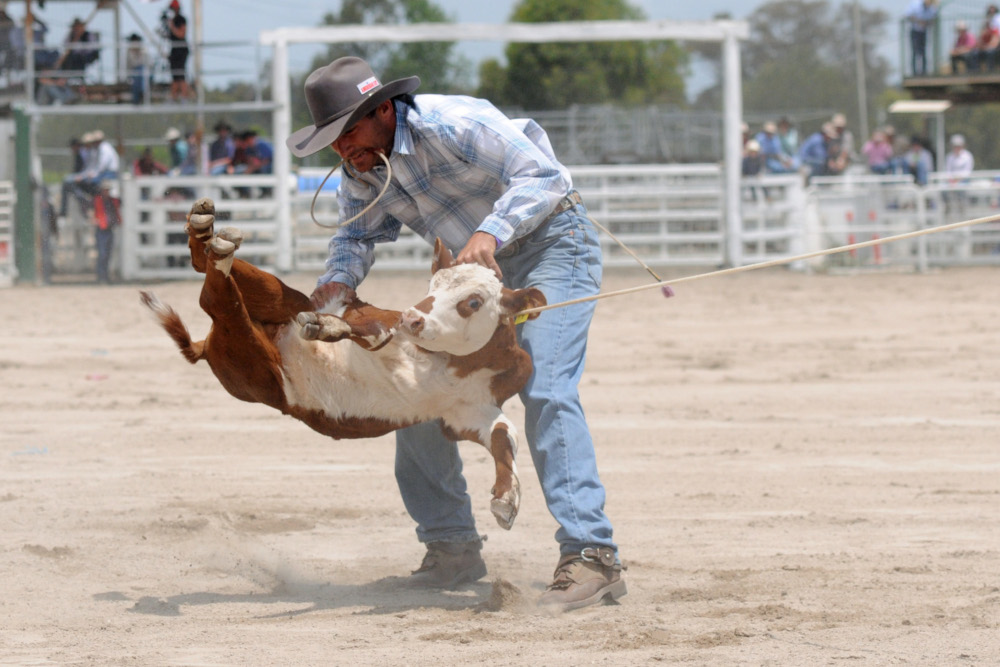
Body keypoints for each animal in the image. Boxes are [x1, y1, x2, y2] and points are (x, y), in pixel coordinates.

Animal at [139, 196, 548, 528]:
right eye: (432, 286)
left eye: (473, 301)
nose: (413, 317)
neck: (450, 360)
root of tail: (205, 344)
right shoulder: (376, 319)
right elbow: (375, 333)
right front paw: (327, 326)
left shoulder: (465, 414)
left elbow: (504, 435)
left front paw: (507, 499)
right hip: (278, 303)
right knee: (212, 286)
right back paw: (208, 231)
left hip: (251, 351)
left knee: (218, 297)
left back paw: (215, 242)